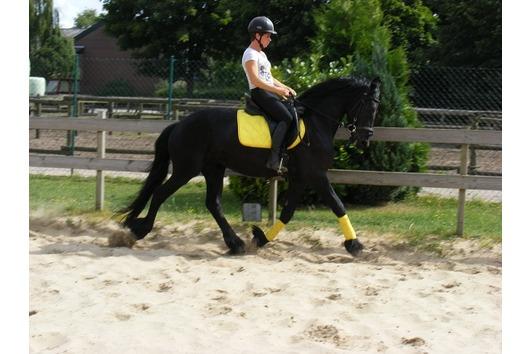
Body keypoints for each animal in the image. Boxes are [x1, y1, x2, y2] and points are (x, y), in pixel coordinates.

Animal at [122, 76, 380, 254]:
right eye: (369, 107)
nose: (364, 139)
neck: (316, 124)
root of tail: (179, 124)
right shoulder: (316, 175)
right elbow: (338, 205)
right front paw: (355, 244)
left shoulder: (300, 178)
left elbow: (287, 213)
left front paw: (261, 238)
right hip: (186, 170)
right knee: (160, 193)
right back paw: (138, 230)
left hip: (213, 169)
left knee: (213, 203)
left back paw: (235, 243)